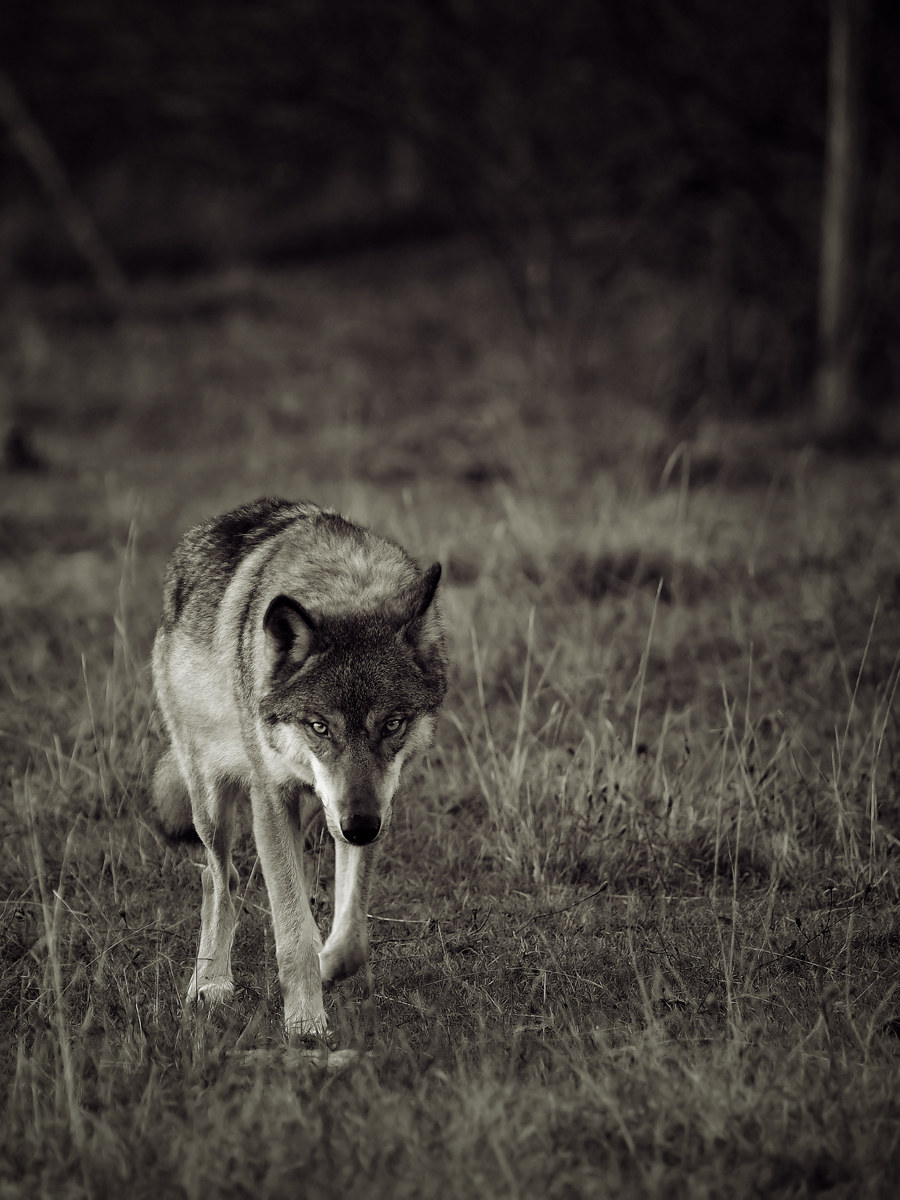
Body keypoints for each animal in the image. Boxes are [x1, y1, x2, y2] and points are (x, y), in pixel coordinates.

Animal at [151, 498, 446, 1040]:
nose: (360, 827)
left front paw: (328, 969)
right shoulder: (271, 799)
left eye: (393, 723)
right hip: (214, 805)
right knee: (217, 878)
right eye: (319, 726)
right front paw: (306, 1024)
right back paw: (211, 983)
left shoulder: (371, 808)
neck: (343, 584)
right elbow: (291, 932)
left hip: (317, 813)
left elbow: (347, 935)